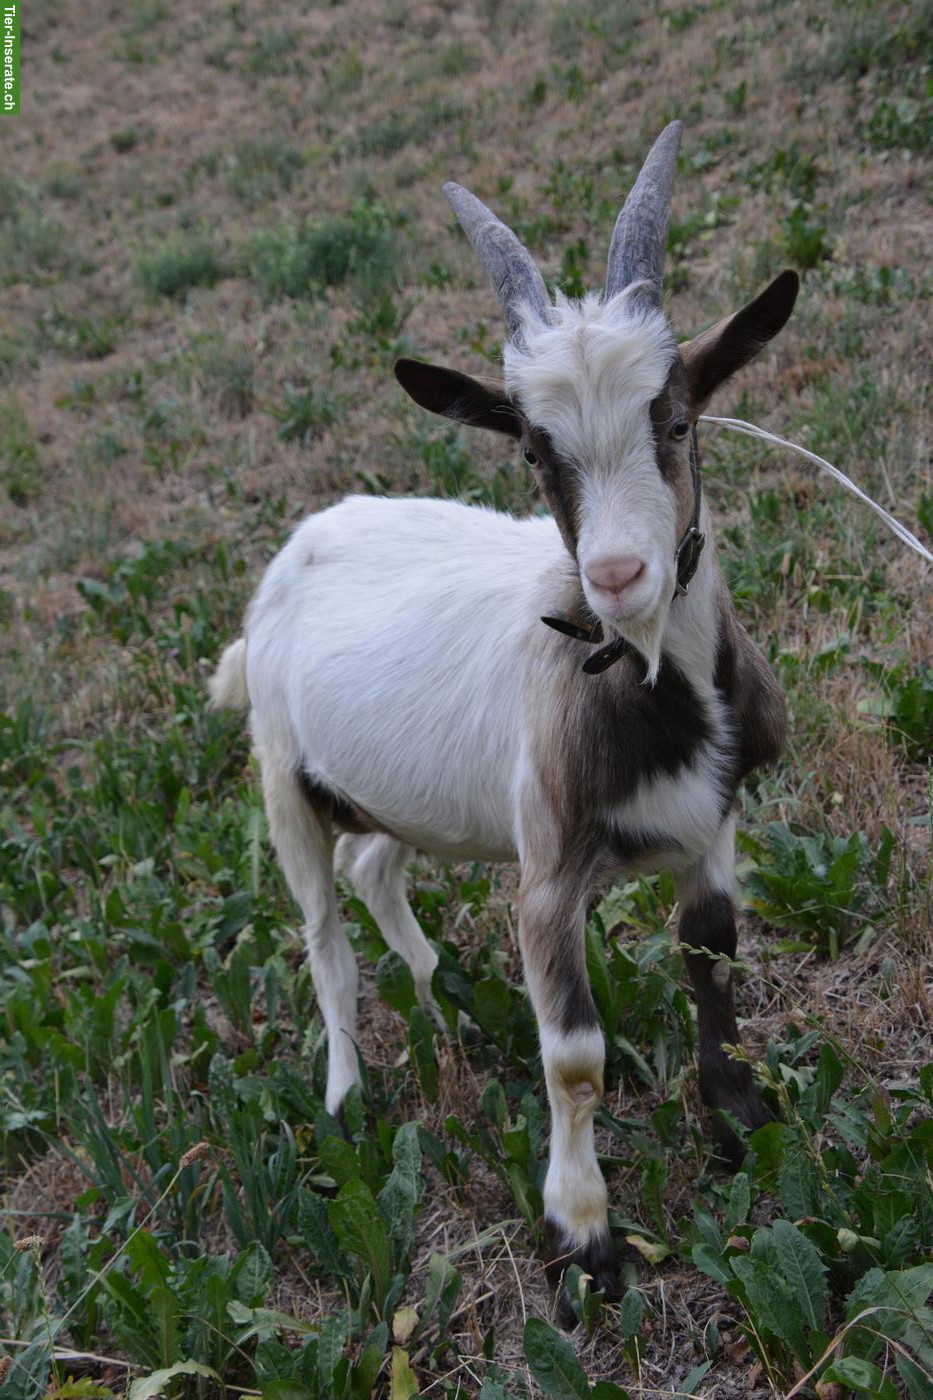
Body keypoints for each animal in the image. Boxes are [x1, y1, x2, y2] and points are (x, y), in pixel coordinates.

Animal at [210, 122, 798, 1302]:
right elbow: (573, 1058)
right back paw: (347, 1097)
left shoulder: (712, 826)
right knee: (323, 937)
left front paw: (738, 1122)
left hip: (395, 794)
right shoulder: (548, 874)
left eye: (675, 418)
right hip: (285, 781)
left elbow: (713, 958)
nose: (617, 574)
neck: (641, 680)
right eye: (534, 449)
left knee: (374, 866)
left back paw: (439, 1003)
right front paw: (584, 1233)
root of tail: (293, 557)